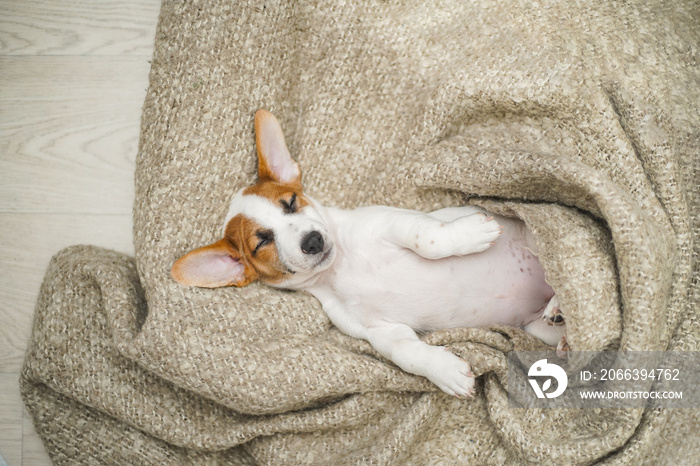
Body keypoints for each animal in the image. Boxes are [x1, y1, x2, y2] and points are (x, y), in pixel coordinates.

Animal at [172, 109, 568, 396]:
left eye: (291, 203)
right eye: (262, 242)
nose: (312, 241)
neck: (341, 267)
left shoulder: (394, 223)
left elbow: (429, 238)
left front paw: (471, 232)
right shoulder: (378, 331)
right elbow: (407, 354)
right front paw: (445, 371)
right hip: (532, 326)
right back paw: (560, 321)